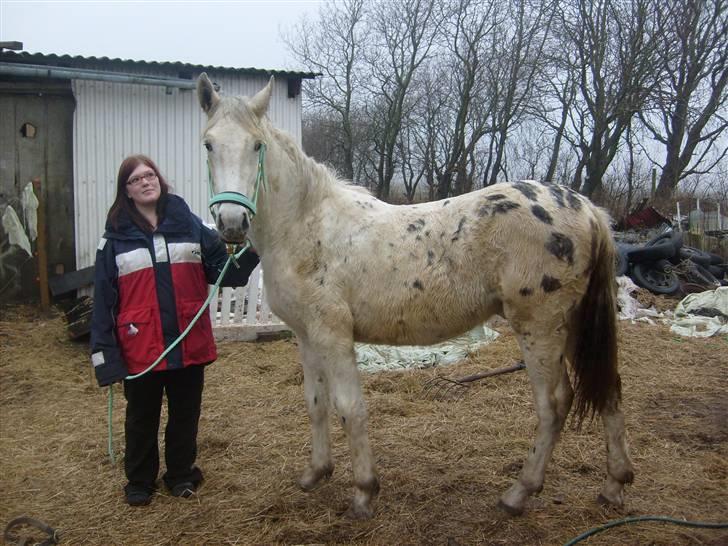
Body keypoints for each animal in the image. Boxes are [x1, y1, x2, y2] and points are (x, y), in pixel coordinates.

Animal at [196, 73, 636, 520]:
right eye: (208, 144)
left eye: (257, 146)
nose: (231, 223)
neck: (307, 224)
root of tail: (587, 208)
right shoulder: (306, 336)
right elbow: (316, 403)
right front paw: (316, 473)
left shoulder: (333, 335)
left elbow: (350, 408)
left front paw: (364, 493)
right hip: (575, 325)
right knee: (610, 389)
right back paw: (614, 485)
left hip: (541, 328)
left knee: (553, 404)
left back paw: (519, 492)